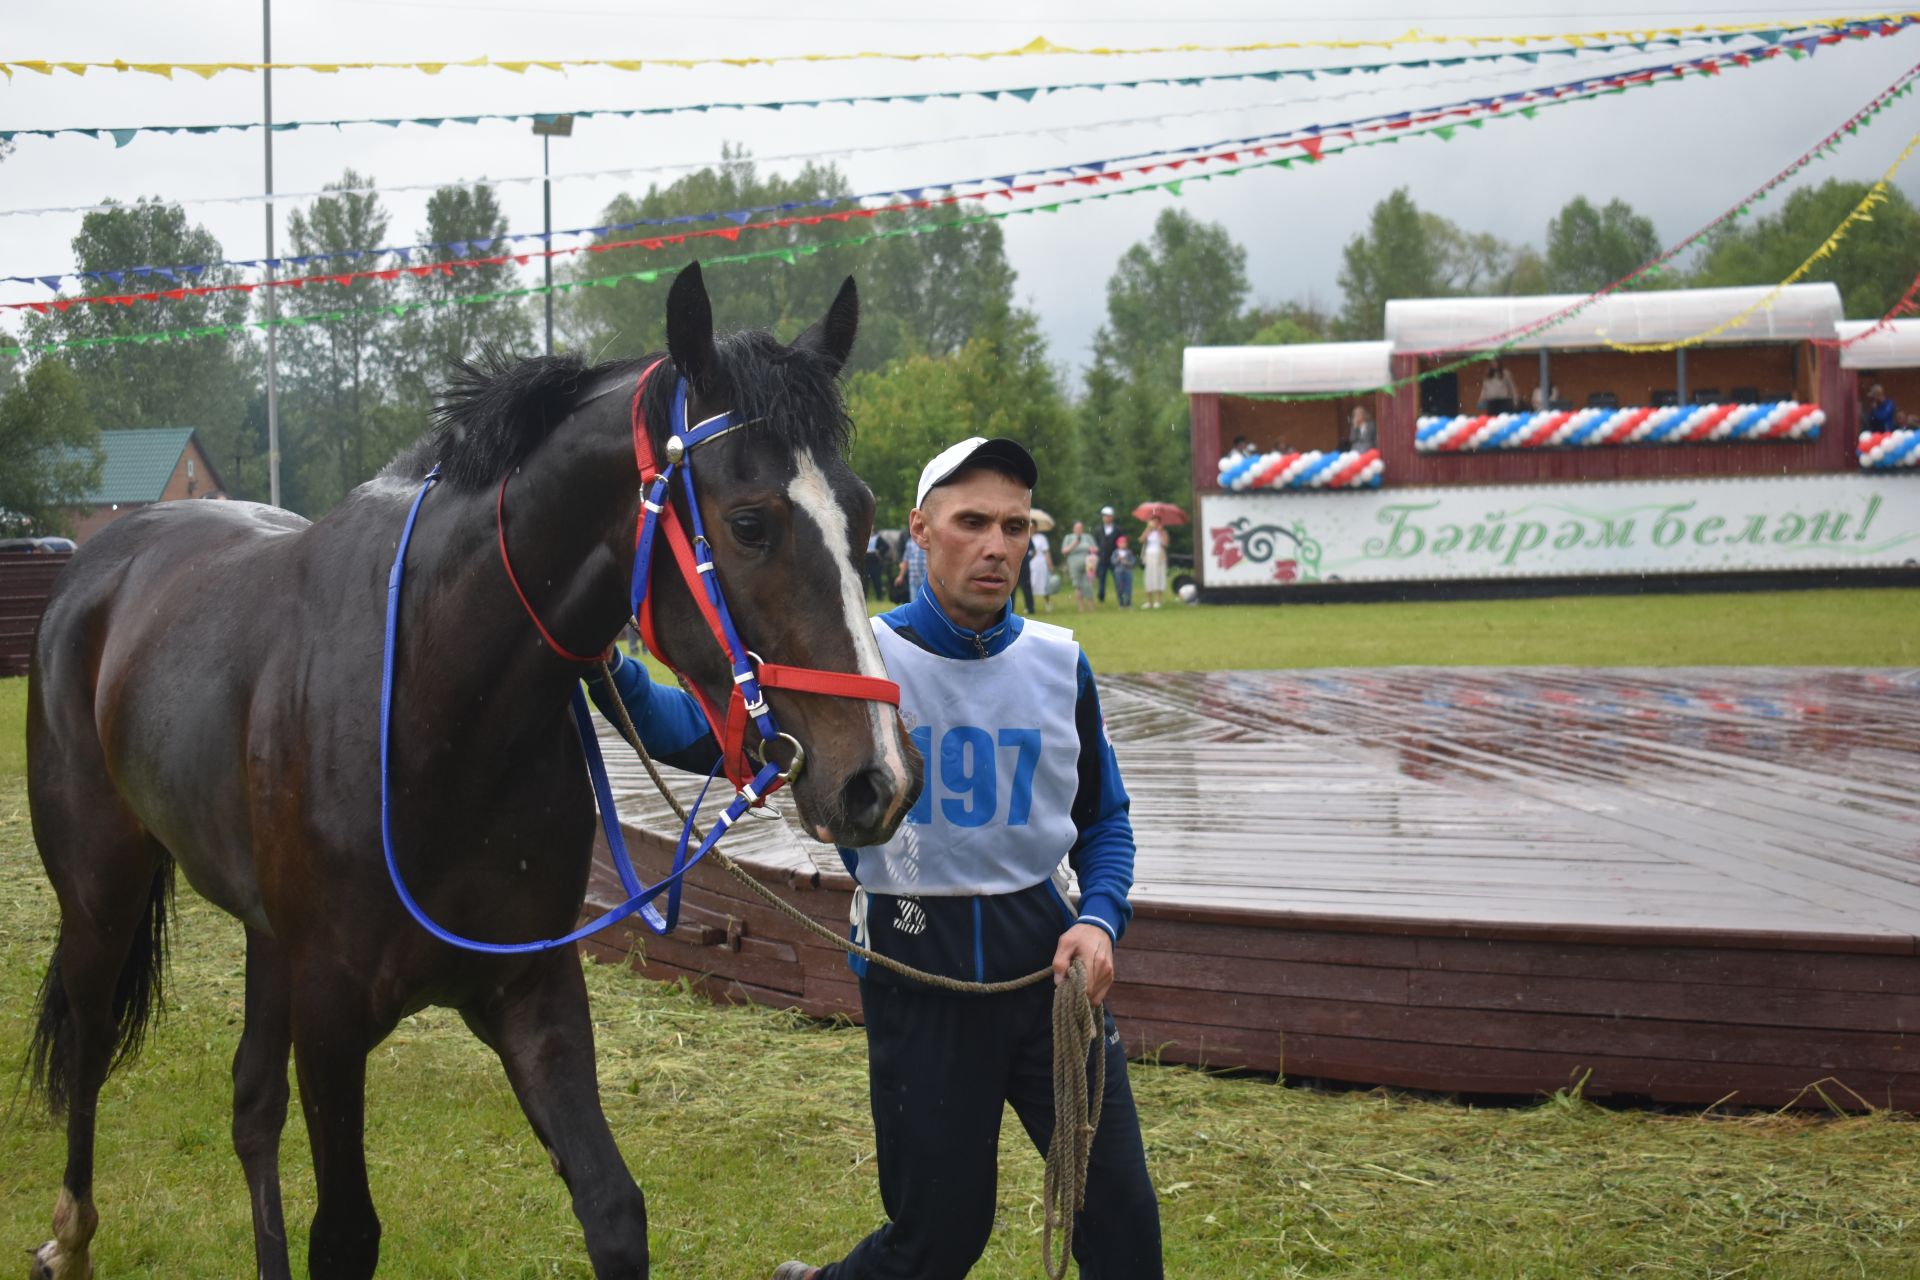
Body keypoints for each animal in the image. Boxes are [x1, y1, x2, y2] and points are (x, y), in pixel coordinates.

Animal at [15, 264, 913, 1274]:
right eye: (751, 523)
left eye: (865, 515)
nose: (876, 778)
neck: (434, 709)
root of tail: (100, 561)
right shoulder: (331, 1019)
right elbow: (346, 1233)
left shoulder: (530, 991)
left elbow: (613, 1207)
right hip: (102, 895)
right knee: (91, 1043)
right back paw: (69, 1237)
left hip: (264, 935)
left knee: (250, 1107)